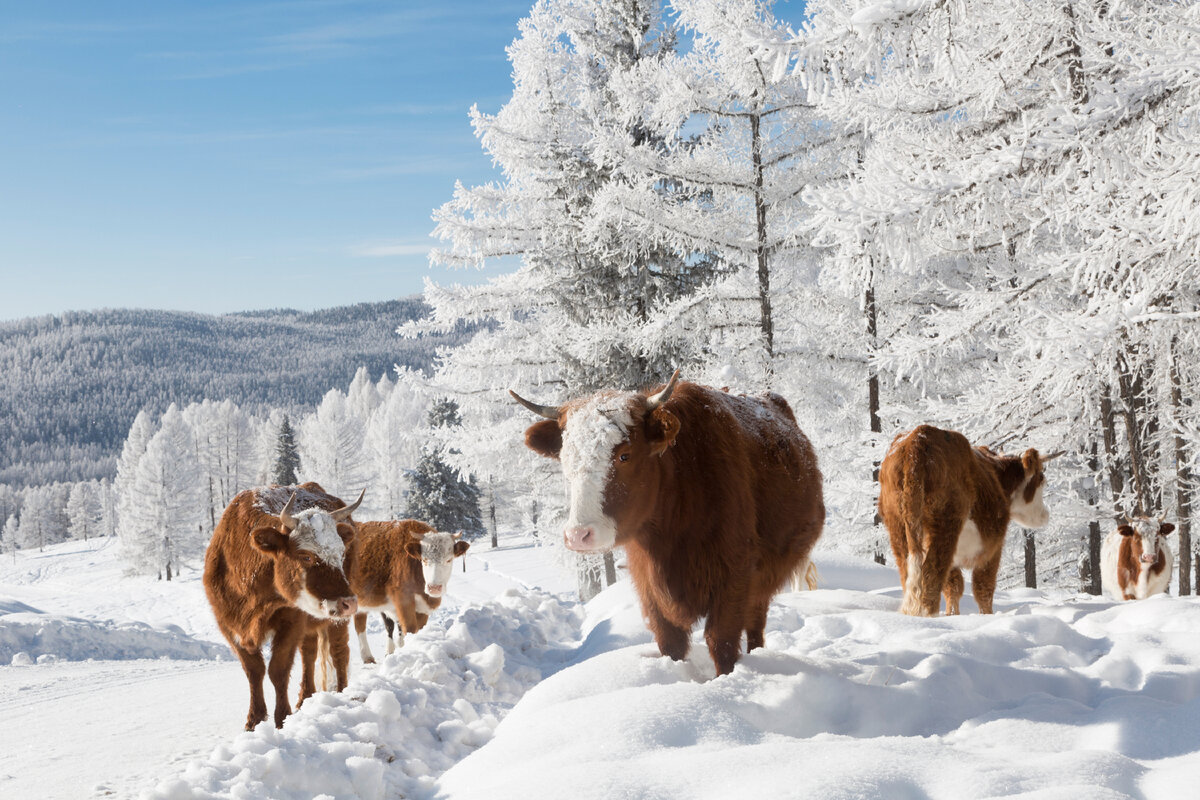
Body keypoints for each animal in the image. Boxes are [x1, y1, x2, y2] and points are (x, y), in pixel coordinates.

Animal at [204, 482, 362, 734]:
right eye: (306, 556)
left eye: (341, 553)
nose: (349, 602)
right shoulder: (229, 626)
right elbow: (254, 671)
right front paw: (254, 720)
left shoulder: (290, 621)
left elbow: (277, 670)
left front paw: (282, 720)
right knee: (309, 654)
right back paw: (305, 699)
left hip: (335, 620)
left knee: (339, 653)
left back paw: (340, 695)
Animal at [348, 520, 468, 662]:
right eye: (424, 560)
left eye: (449, 560)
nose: (434, 587)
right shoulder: (403, 601)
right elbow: (409, 629)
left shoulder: (423, 608)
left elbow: (417, 629)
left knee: (360, 622)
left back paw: (368, 657)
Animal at [506, 371, 825, 681]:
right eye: (565, 459)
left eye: (624, 455)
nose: (578, 535)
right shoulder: (649, 587)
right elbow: (670, 644)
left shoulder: (734, 576)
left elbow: (721, 642)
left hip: (765, 578)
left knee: (756, 624)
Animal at [873, 424, 1060, 618]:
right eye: (1041, 480)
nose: (1046, 514)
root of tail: (917, 439)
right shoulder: (993, 547)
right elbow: (983, 588)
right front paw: (986, 616)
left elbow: (953, 587)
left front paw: (953, 615)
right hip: (945, 524)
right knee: (933, 570)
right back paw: (929, 614)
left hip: (898, 526)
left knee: (909, 570)